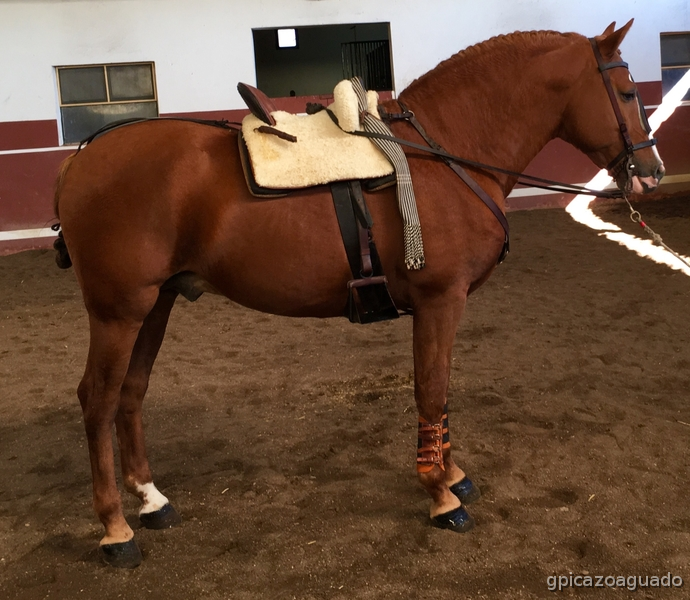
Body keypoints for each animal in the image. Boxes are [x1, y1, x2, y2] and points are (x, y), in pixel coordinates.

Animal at [52, 20, 664, 568]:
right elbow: (431, 391)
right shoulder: (440, 302)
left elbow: (441, 393)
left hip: (157, 302)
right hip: (119, 310)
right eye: (628, 92)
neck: (445, 151)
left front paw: (452, 476)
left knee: (131, 392)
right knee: (97, 399)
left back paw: (151, 500)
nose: (651, 172)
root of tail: (82, 158)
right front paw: (441, 495)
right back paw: (116, 529)